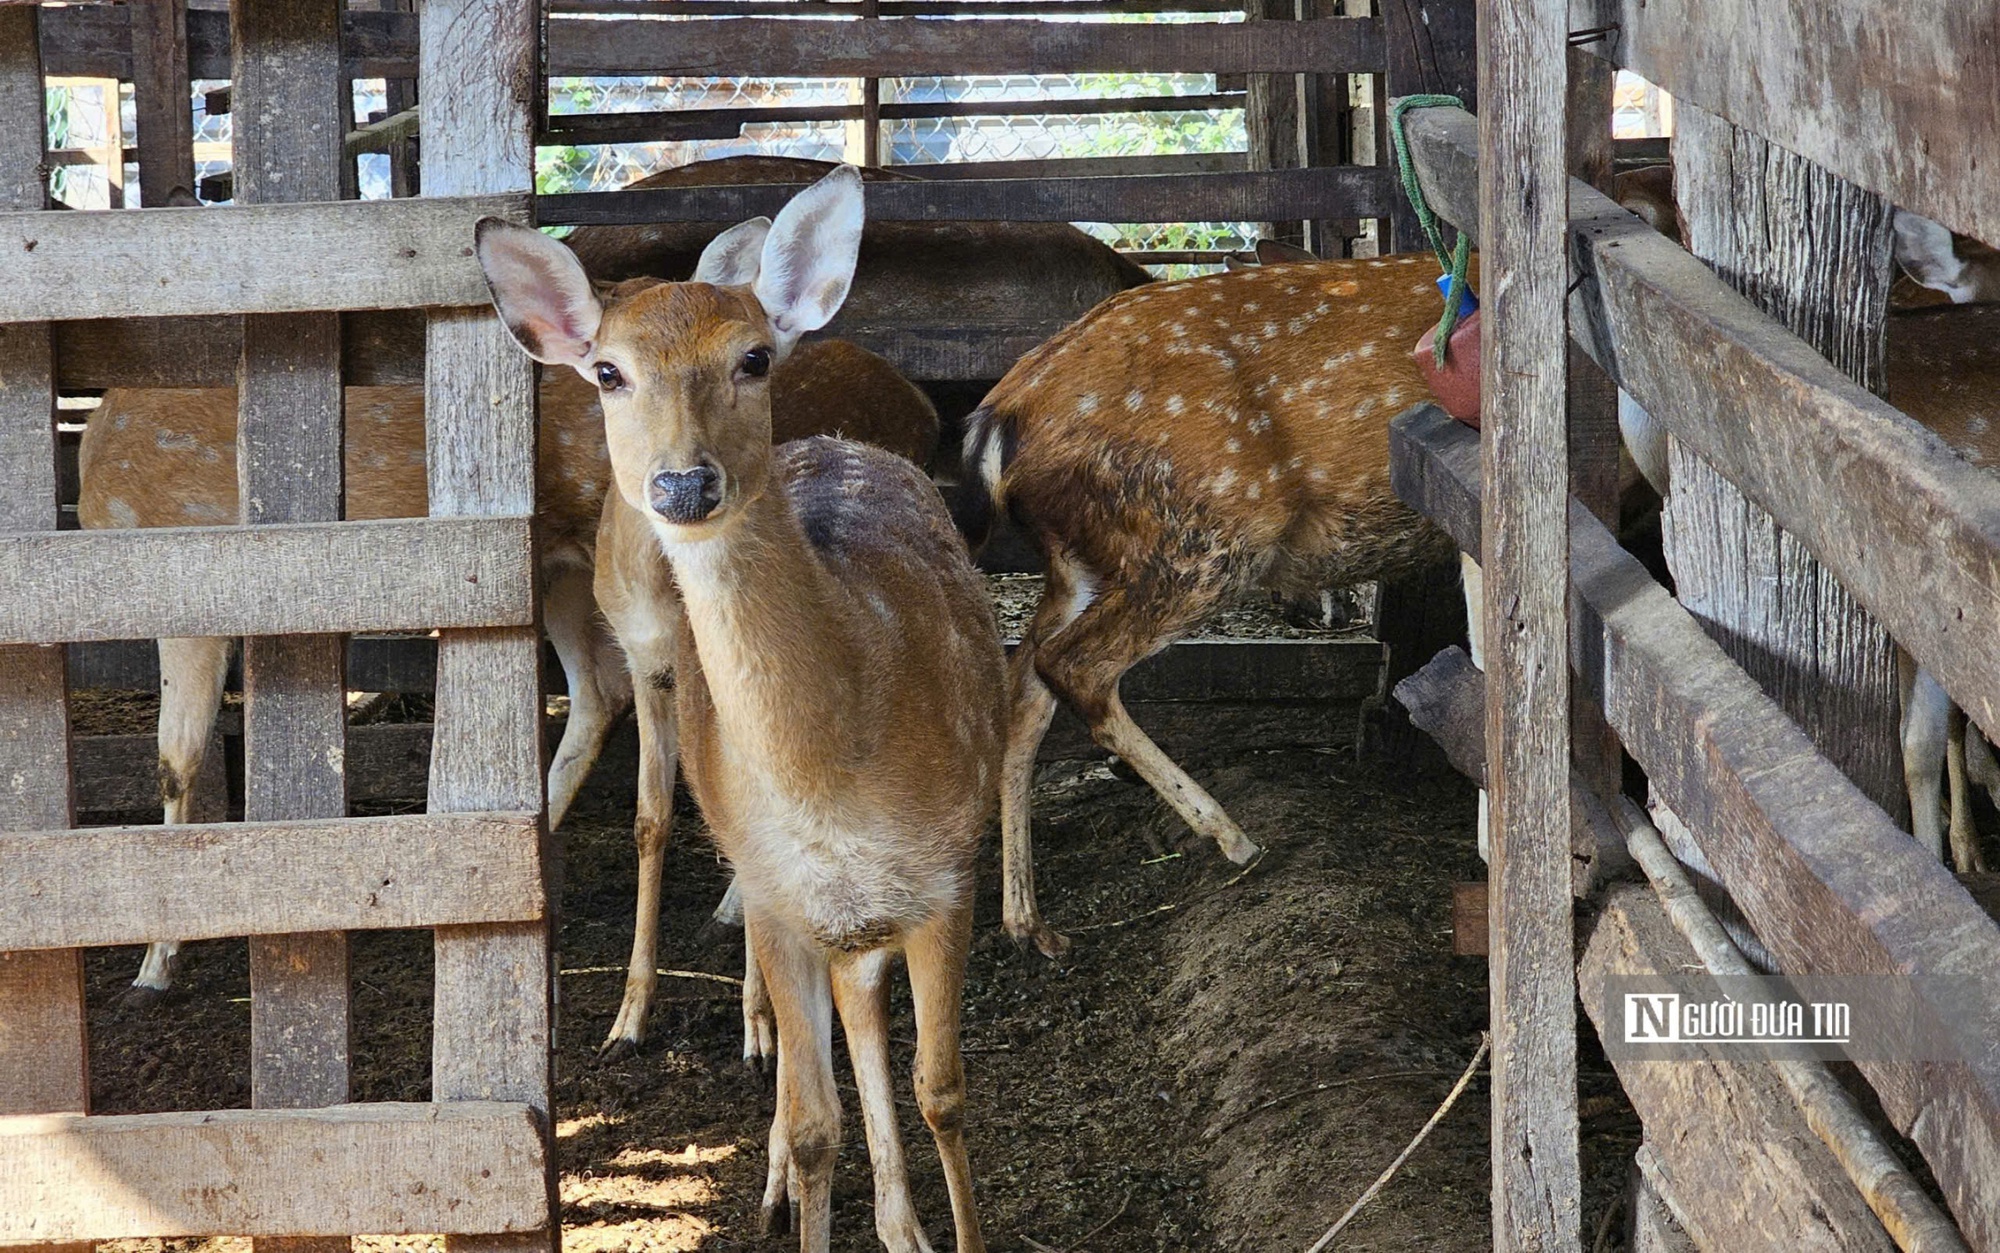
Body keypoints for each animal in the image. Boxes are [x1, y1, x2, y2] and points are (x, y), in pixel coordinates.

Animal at [478, 168, 1008, 1248]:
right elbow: (813, 1124)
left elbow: (945, 1090)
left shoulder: (946, 871)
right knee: (848, 1022)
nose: (683, 481)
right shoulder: (781, 891)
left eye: (754, 356)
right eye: (607, 371)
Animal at [952, 256, 1472, 956]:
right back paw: (1232, 838)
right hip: (1206, 537)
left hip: (1082, 558)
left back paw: (1030, 924)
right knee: (1073, 664)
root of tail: (1002, 411)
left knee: (1023, 682)